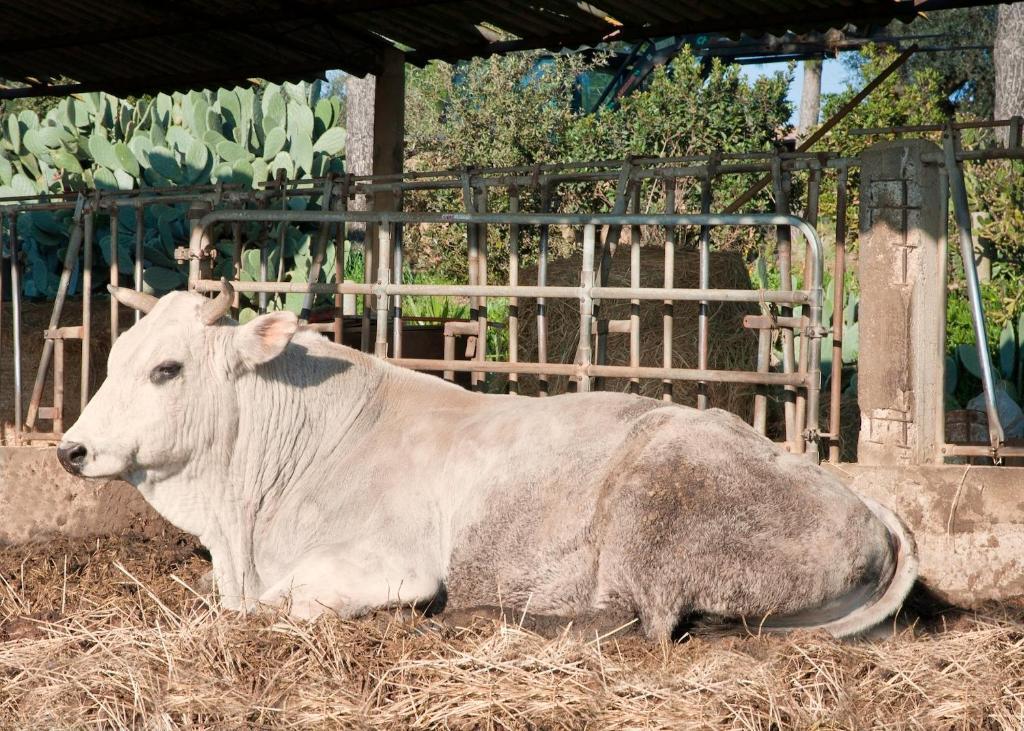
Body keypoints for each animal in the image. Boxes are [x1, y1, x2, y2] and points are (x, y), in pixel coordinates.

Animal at [58, 280, 921, 638]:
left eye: (166, 368)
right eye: (114, 356)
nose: (70, 447)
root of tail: (865, 506)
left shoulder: (388, 566)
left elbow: (279, 604)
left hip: (653, 504)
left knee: (635, 622)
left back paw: (477, 617)